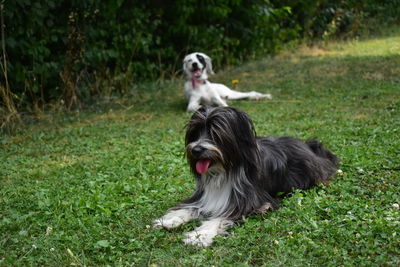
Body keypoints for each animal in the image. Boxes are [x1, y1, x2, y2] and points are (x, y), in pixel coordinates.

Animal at [153, 106, 338, 247]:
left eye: (215, 133)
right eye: (195, 132)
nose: (196, 150)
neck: (224, 170)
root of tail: (308, 146)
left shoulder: (252, 202)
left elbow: (221, 217)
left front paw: (199, 235)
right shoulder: (204, 196)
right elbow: (190, 207)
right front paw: (171, 220)